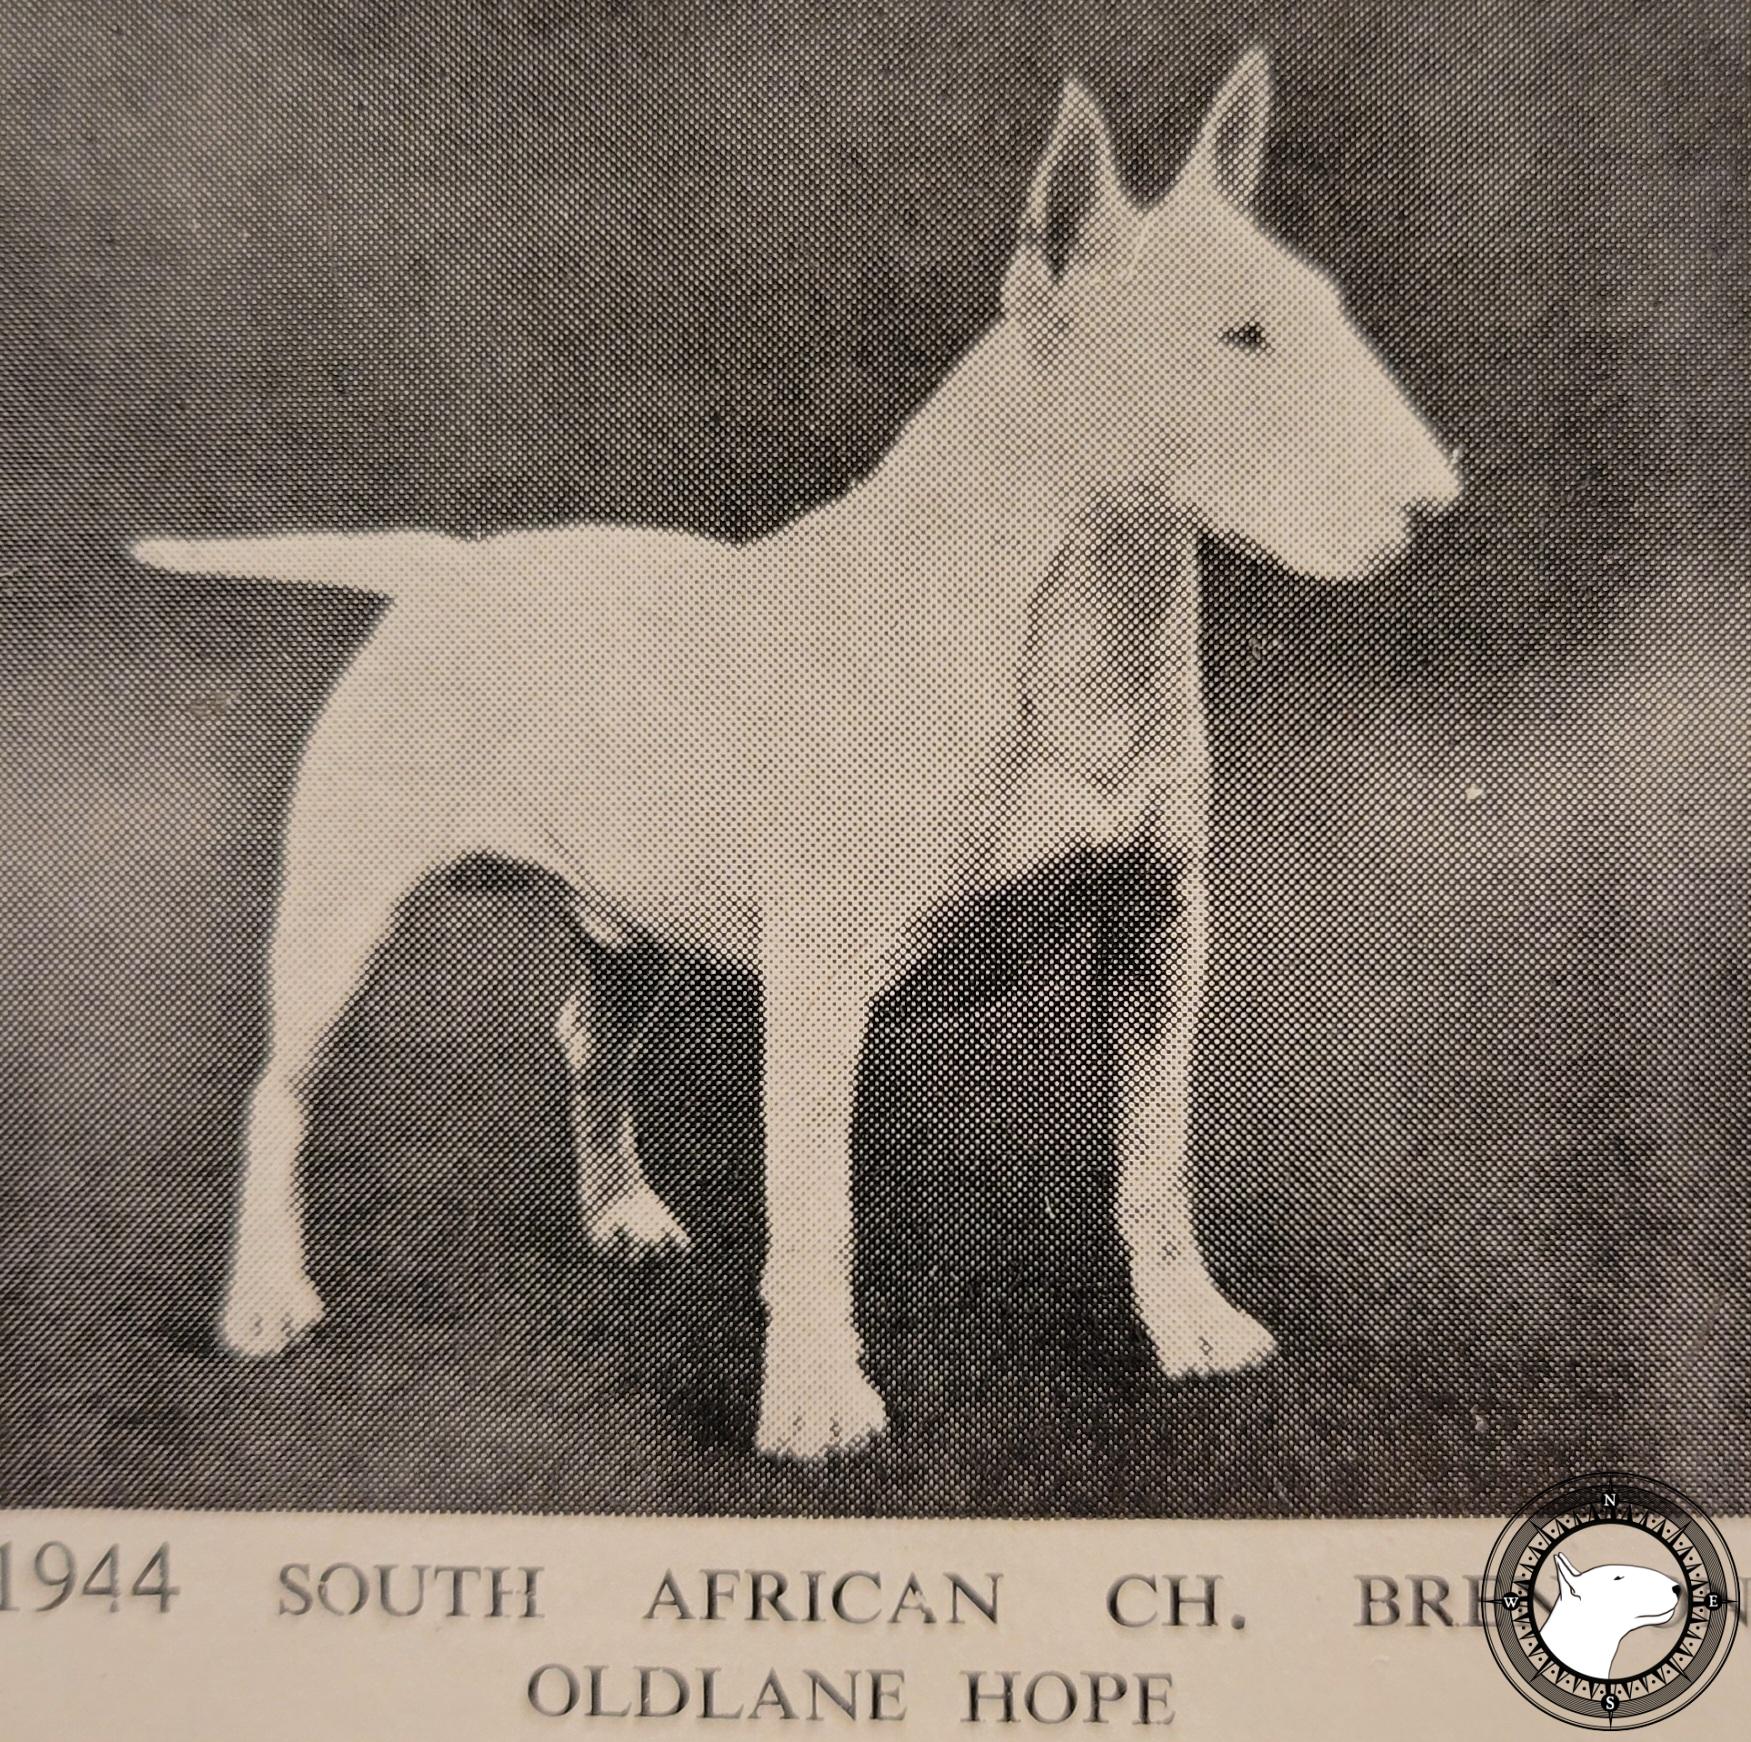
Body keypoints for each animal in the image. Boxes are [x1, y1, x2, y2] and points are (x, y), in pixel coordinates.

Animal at [129, 50, 1456, 1456]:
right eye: (1238, 338)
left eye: (1321, 313)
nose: (1436, 500)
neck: (1065, 621)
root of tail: (448, 568)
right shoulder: (819, 986)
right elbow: (815, 1212)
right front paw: (818, 1396)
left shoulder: (1158, 930)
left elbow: (1154, 1153)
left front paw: (1189, 1320)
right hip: (344, 902)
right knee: (281, 1089)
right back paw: (266, 1293)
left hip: (633, 914)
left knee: (587, 1035)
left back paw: (620, 1212)